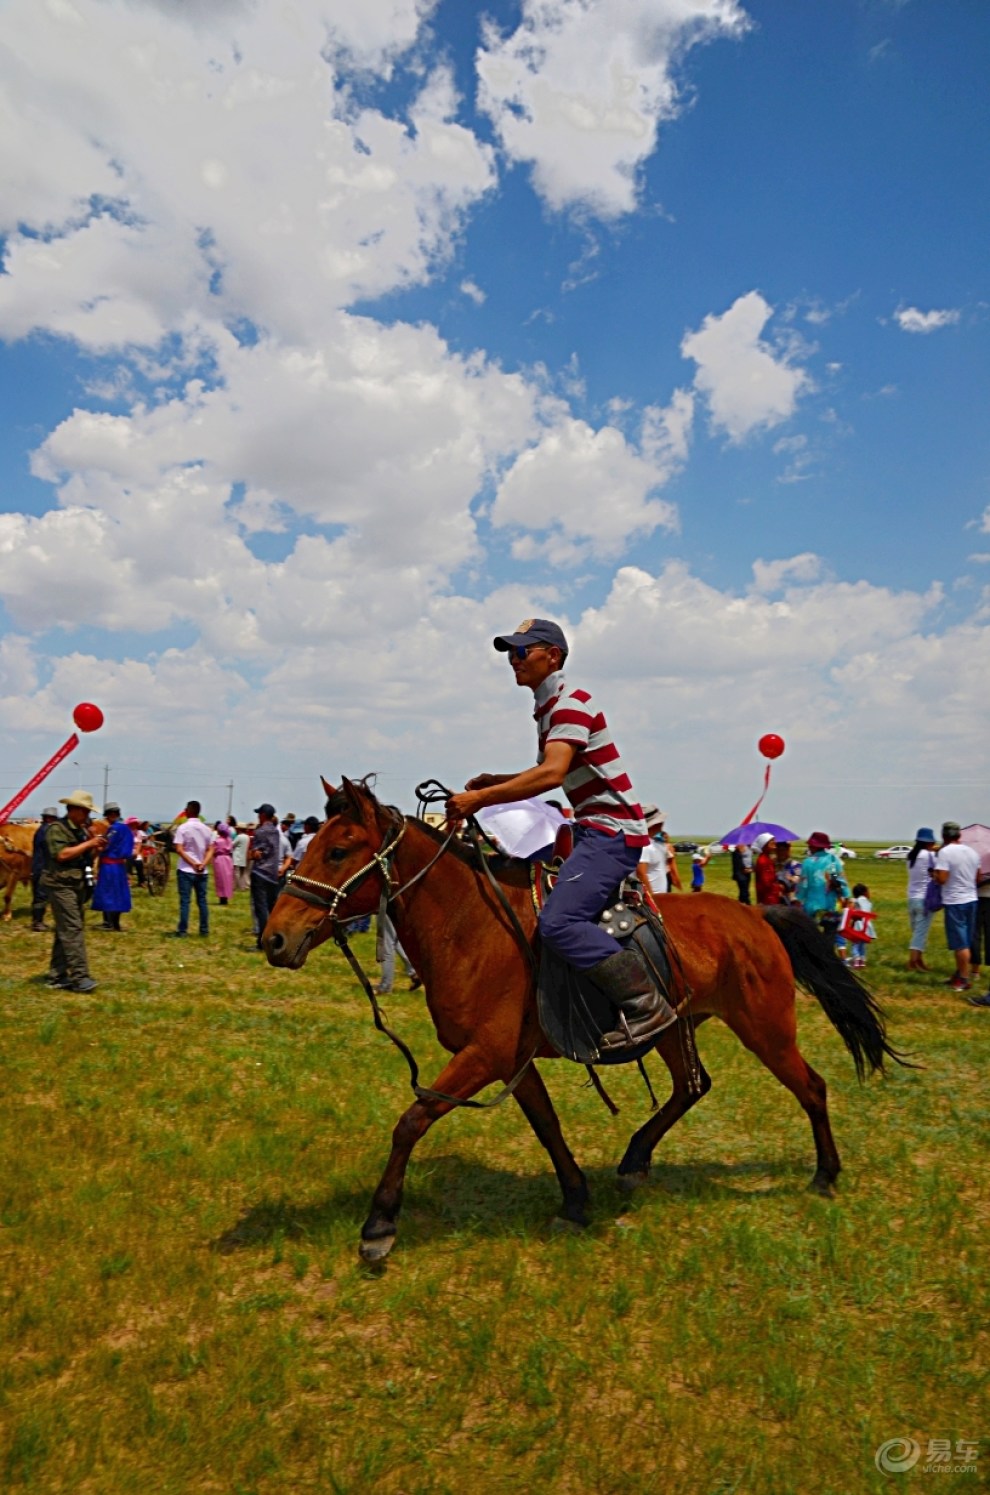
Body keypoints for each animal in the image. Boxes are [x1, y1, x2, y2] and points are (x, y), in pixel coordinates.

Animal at [263, 783, 909, 1261]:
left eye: (339, 851)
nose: (274, 938)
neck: (471, 926)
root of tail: (758, 915)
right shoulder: (511, 1061)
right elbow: (547, 1127)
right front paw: (575, 1200)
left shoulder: (483, 1056)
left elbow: (412, 1121)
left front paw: (379, 1225)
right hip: (674, 1028)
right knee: (691, 1086)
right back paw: (635, 1160)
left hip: (766, 1029)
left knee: (811, 1087)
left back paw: (825, 1174)